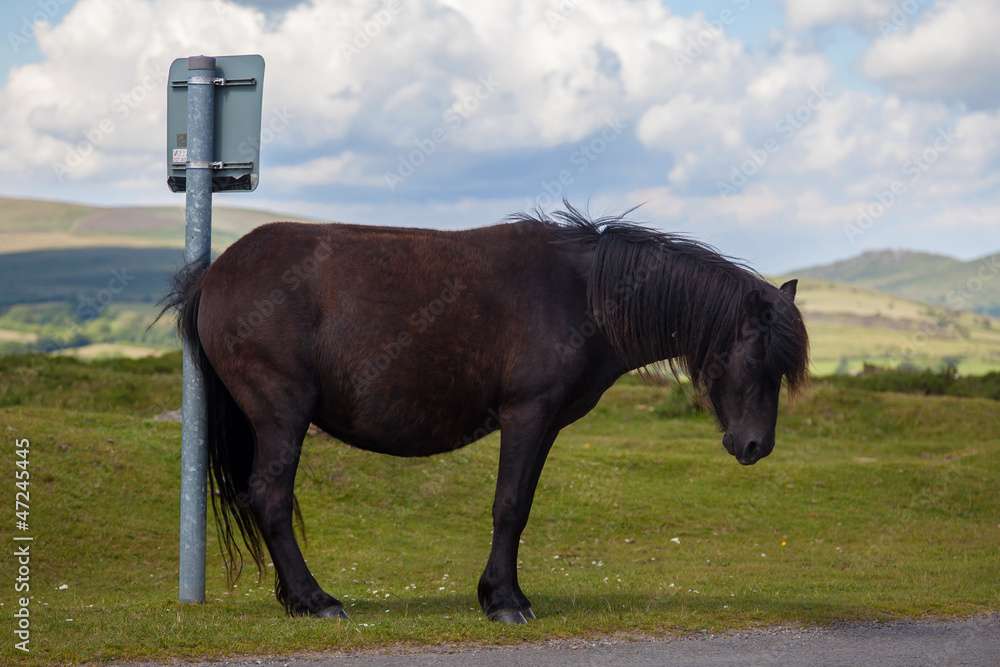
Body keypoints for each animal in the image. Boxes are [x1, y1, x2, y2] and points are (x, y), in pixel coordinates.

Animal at [160, 204, 808, 628]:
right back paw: (315, 600)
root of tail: (215, 274)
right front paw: (505, 601)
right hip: (282, 415)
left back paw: (296, 599)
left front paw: (499, 593)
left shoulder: (544, 424)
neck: (582, 294)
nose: (756, 445)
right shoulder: (526, 415)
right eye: (758, 356)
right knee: (270, 498)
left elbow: (519, 508)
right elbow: (510, 507)